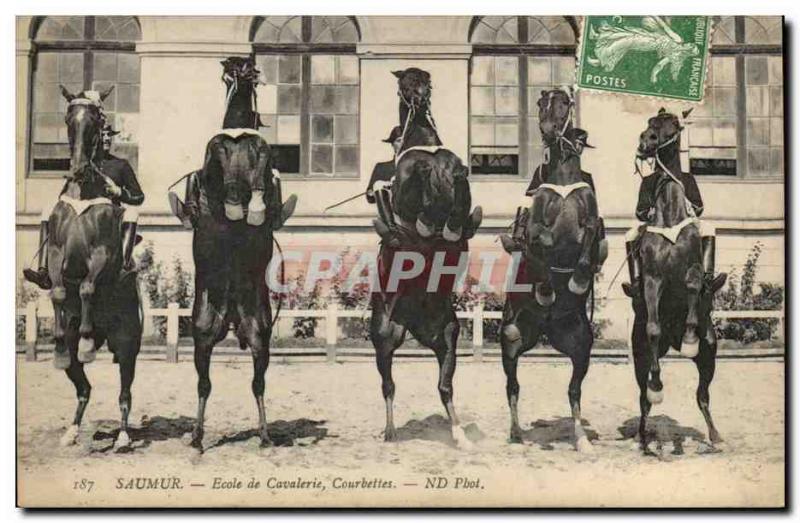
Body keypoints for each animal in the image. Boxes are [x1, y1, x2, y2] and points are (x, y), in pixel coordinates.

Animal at [47, 86, 141, 450]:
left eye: (95, 120)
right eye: (68, 118)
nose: (76, 168)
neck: (85, 190)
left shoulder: (101, 253)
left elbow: (87, 286)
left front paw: (87, 341)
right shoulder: (57, 253)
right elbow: (60, 291)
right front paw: (60, 341)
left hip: (127, 344)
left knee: (125, 393)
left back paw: (124, 436)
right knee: (83, 388)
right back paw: (72, 430)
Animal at [370, 67, 482, 448]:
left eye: (426, 82)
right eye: (405, 84)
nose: (419, 98)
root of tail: (415, 323)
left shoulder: (458, 182)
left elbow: (459, 193)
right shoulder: (404, 191)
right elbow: (412, 193)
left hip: (446, 336)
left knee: (444, 387)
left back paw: (459, 435)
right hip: (385, 337)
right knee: (388, 385)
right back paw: (389, 431)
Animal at [496, 88, 604, 452]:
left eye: (564, 104)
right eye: (541, 103)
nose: (547, 131)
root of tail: (544, 331)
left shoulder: (591, 225)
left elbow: (589, 242)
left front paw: (578, 281)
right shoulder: (535, 229)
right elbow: (538, 242)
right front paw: (545, 289)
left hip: (580, 346)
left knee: (574, 390)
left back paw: (581, 439)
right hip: (512, 340)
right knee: (513, 387)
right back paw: (516, 433)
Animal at [632, 109, 724, 450]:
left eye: (673, 124)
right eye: (649, 123)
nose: (646, 141)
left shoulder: (692, 268)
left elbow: (694, 286)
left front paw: (689, 338)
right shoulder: (652, 280)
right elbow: (654, 328)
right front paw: (658, 387)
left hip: (710, 355)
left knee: (703, 395)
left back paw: (714, 435)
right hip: (640, 356)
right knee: (643, 397)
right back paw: (643, 436)